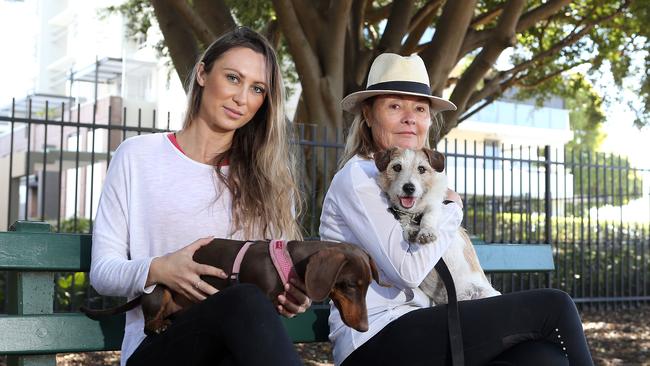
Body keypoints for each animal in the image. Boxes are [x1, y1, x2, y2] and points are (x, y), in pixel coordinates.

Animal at [83, 239, 382, 336]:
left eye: (367, 286)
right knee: (149, 323)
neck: (288, 261)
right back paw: (158, 325)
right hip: (159, 292)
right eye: (348, 285)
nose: (365, 328)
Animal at [372, 147, 498, 304]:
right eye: (397, 167)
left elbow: (429, 216)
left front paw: (426, 232)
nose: (409, 188)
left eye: (421, 169)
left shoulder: (435, 206)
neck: (414, 214)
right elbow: (404, 223)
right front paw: (410, 230)